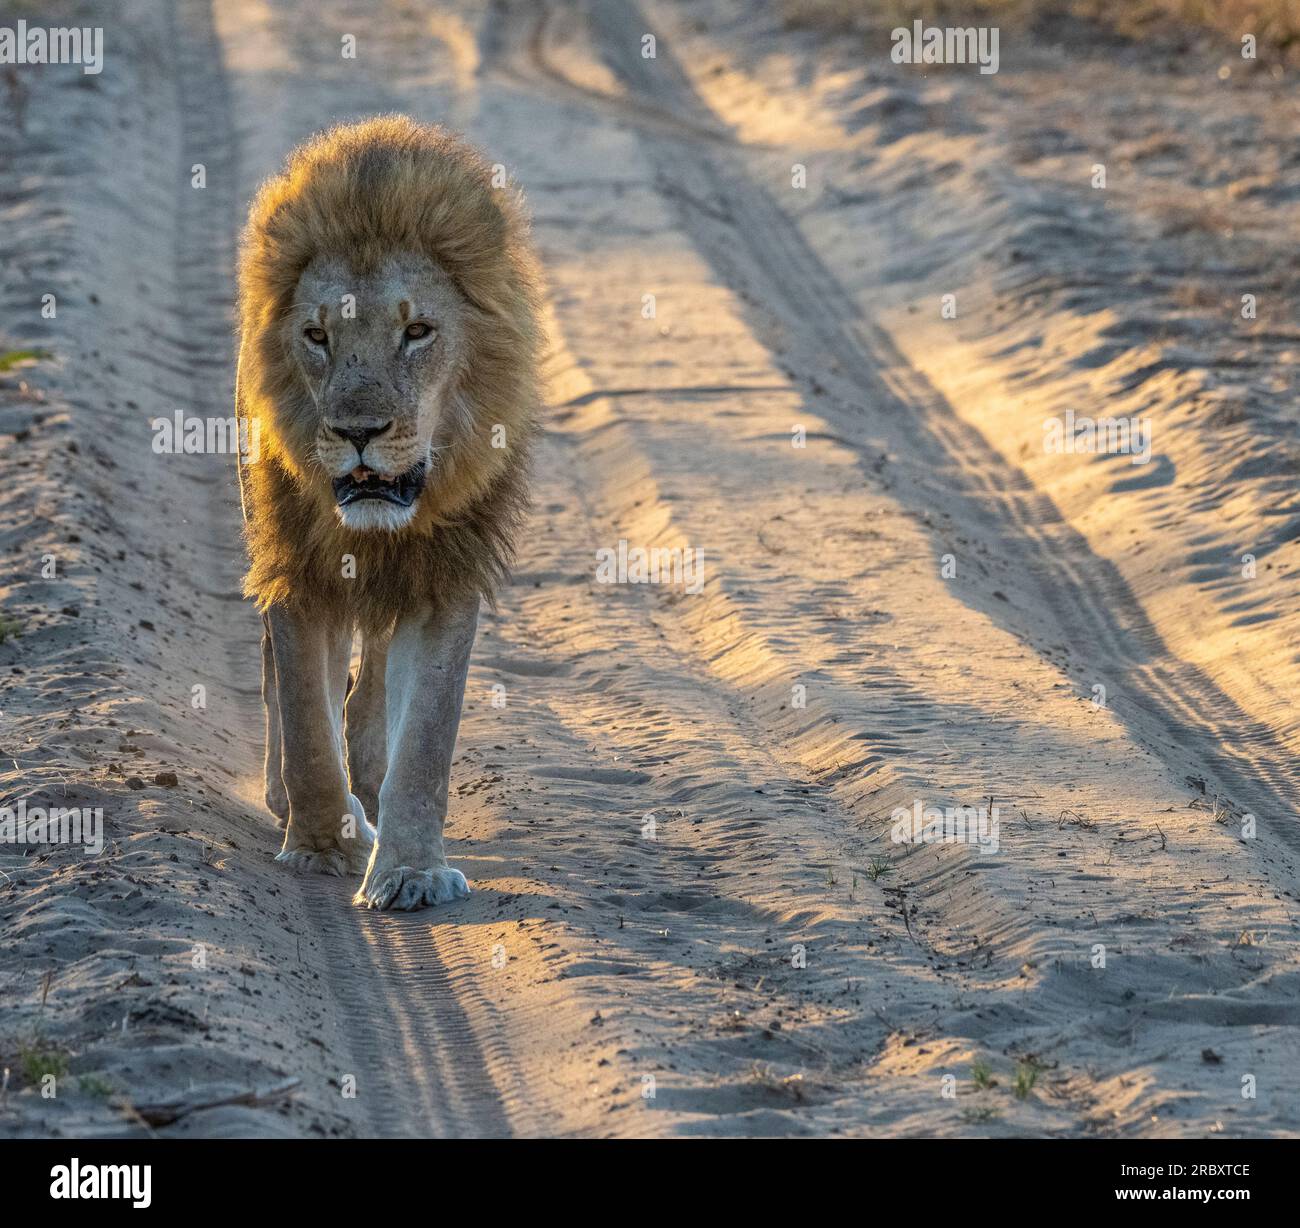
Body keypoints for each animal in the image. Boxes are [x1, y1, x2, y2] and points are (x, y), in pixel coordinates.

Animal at [232, 115, 538, 909]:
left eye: (417, 331)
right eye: (317, 336)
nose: (358, 432)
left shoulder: (446, 576)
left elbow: (426, 737)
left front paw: (410, 871)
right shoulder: (296, 565)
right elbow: (307, 724)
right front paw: (321, 847)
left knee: (368, 686)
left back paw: (368, 787)